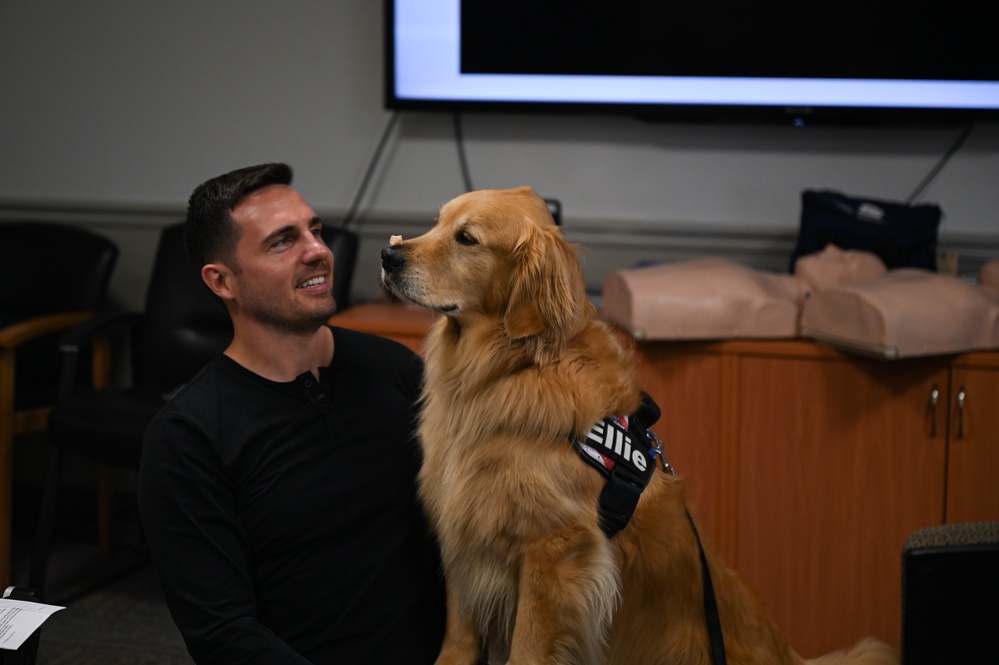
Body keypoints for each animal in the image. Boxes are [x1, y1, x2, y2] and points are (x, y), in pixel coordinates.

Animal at [380, 187, 900, 664]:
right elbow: (458, 637)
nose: (388, 255)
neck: (512, 369)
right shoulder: (465, 531)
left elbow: (526, 650)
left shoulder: (555, 551)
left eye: (467, 238)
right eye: (437, 222)